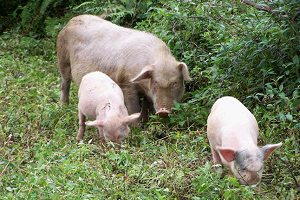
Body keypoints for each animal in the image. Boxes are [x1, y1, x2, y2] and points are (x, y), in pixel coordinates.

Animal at [57, 14, 191, 120]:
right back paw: (64, 106)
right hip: (62, 59)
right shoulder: (126, 83)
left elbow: (146, 106)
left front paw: (145, 121)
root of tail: (70, 21)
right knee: (65, 82)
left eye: (175, 83)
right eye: (156, 82)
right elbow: (133, 109)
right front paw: (138, 128)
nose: (163, 111)